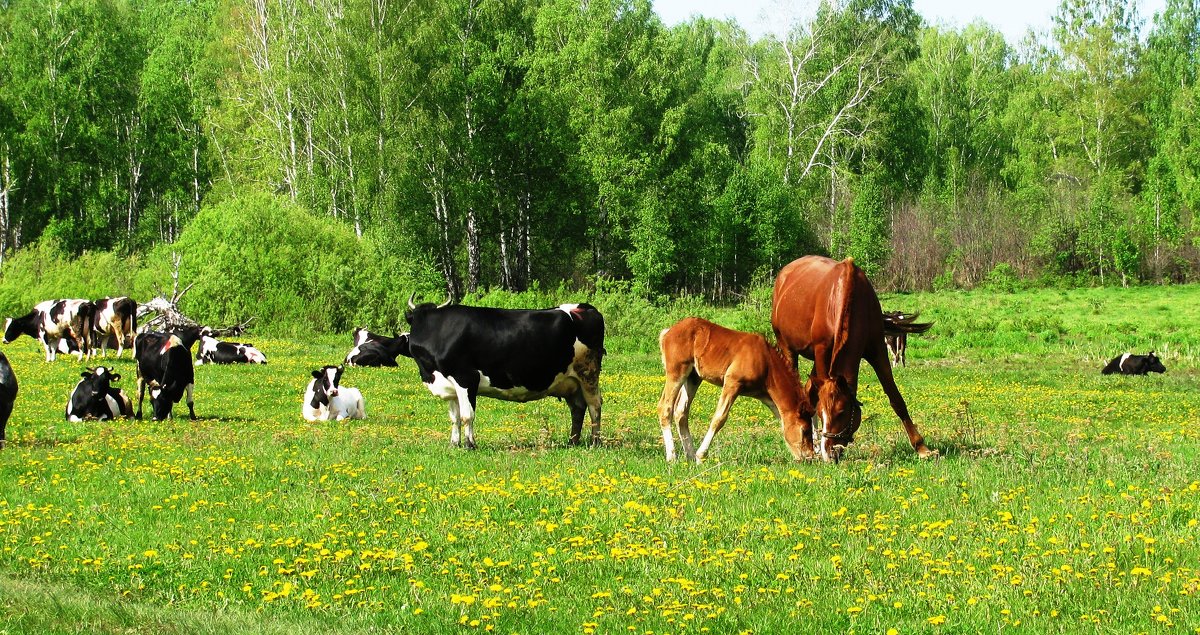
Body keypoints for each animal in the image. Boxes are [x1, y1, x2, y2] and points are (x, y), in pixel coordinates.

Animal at [405, 294, 609, 448]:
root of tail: (585, 308)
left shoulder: (465, 378)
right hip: (570, 381)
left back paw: (595, 442)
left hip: (588, 373)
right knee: (578, 408)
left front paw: (470, 445)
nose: (414, 343)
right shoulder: (449, 385)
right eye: (415, 321)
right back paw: (572, 441)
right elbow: (454, 418)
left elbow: (467, 415)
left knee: (594, 406)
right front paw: (454, 444)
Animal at [657, 314, 816, 460]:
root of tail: (668, 332)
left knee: (681, 412)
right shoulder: (732, 383)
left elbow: (781, 419)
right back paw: (672, 457)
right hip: (676, 372)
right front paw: (701, 455)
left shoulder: (766, 396)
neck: (766, 362)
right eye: (805, 430)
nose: (809, 457)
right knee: (665, 407)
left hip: (693, 378)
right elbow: (719, 418)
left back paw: (689, 457)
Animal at [768, 255, 936, 460]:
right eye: (822, 413)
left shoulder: (877, 350)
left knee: (808, 390)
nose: (830, 453)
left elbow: (895, 398)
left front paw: (921, 447)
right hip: (788, 349)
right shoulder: (822, 351)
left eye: (842, 412)